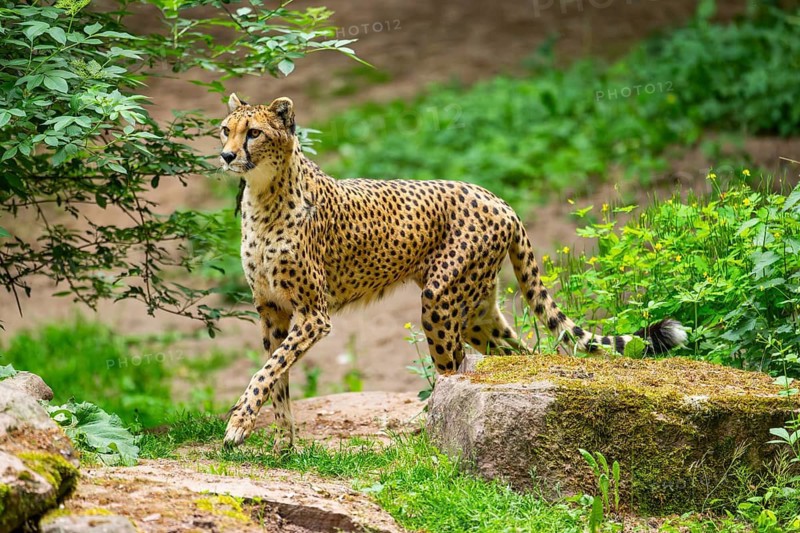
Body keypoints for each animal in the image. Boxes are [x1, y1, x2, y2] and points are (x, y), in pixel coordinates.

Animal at [218, 93, 687, 447]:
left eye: (254, 133)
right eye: (226, 129)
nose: (226, 155)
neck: (264, 195)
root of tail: (496, 197)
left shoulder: (314, 315)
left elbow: (267, 372)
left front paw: (239, 422)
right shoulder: (273, 313)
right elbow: (278, 380)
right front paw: (283, 447)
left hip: (440, 299)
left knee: (453, 368)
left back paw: (428, 439)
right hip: (477, 310)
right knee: (519, 354)